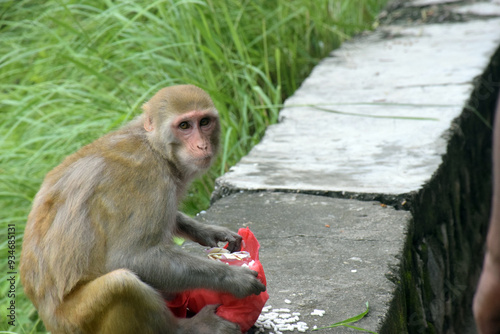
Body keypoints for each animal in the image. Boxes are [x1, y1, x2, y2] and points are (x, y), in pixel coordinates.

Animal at [19, 85, 266, 334]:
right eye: (184, 126)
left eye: (204, 122)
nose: (202, 145)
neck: (154, 147)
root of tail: (49, 320)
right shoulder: (149, 181)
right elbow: (132, 258)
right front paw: (233, 278)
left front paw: (209, 232)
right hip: (77, 320)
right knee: (122, 283)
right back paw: (187, 327)